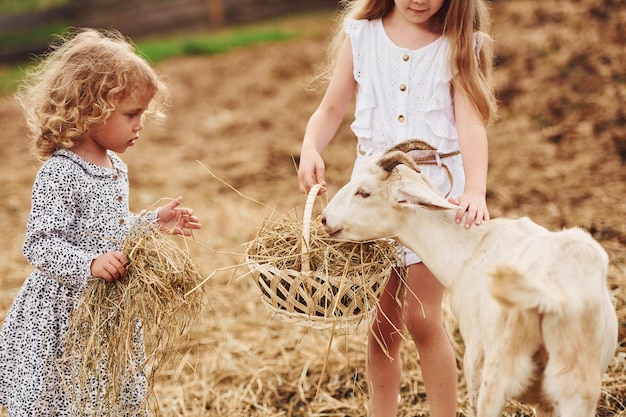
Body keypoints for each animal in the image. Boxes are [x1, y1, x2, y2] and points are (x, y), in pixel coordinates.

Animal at [320, 145, 616, 416]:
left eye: (364, 192)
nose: (324, 219)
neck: (472, 247)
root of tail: (551, 296)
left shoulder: (474, 359)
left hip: (495, 374)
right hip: (577, 388)